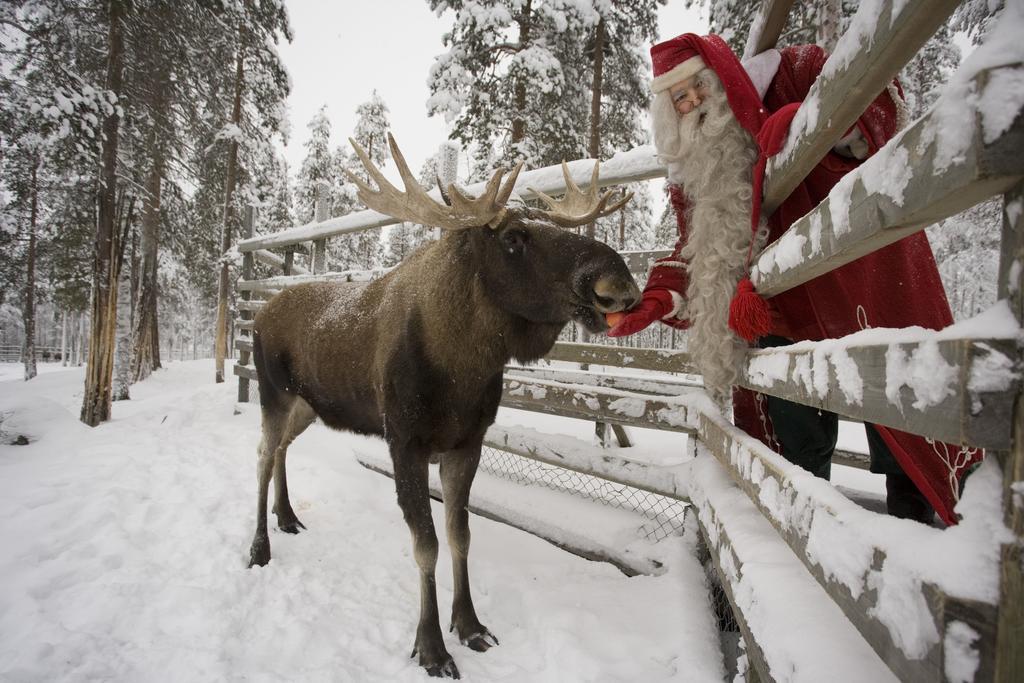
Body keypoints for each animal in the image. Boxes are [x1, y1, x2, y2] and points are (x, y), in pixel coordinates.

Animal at [246, 135, 634, 679]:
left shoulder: (466, 443)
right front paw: (431, 645)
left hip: (306, 405)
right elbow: (426, 545)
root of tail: (258, 314)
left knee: (280, 450)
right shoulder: (405, 443)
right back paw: (259, 547)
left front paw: (468, 624)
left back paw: (287, 516)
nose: (617, 281)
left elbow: (460, 534)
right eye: (513, 237)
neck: (463, 371)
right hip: (273, 392)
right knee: (262, 455)